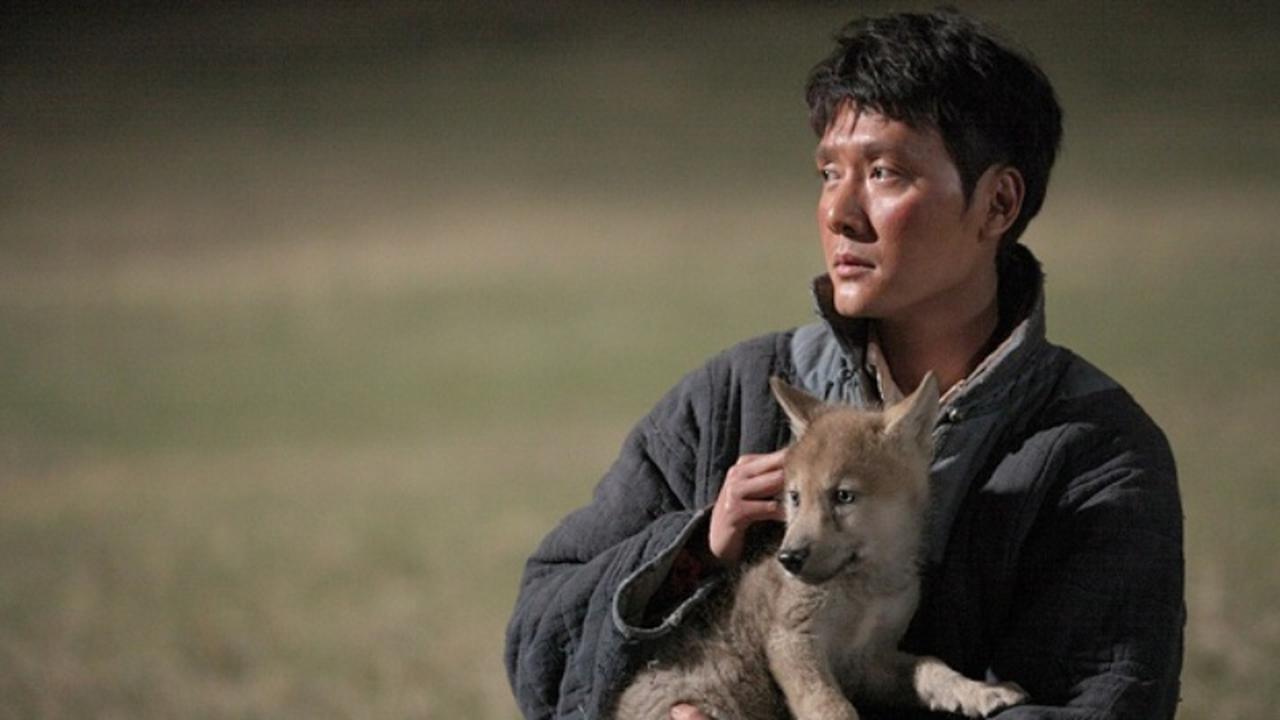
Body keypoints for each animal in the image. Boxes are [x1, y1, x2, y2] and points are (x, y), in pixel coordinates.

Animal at [613, 373, 1027, 719]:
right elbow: (830, 707)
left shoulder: (869, 661)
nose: (789, 558)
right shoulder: (793, 640)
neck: (864, 590)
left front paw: (980, 691)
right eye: (795, 497)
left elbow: (931, 666)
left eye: (843, 496)